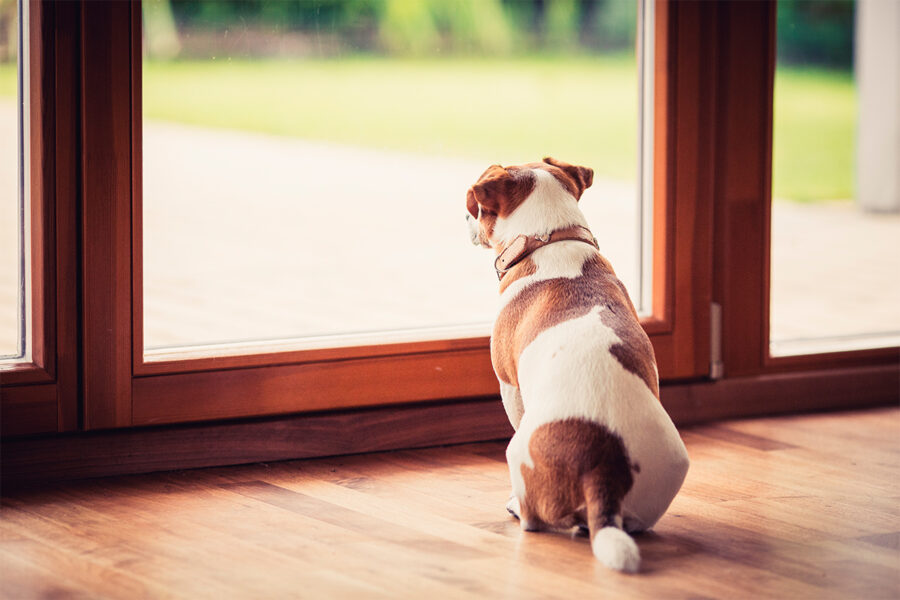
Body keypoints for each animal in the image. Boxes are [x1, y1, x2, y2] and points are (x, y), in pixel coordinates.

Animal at [464, 156, 688, 572]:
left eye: (476, 208)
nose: (463, 218)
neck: (553, 237)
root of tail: (603, 468)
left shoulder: (509, 385)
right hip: (671, 467)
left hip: (517, 454)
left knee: (534, 519)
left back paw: (518, 508)